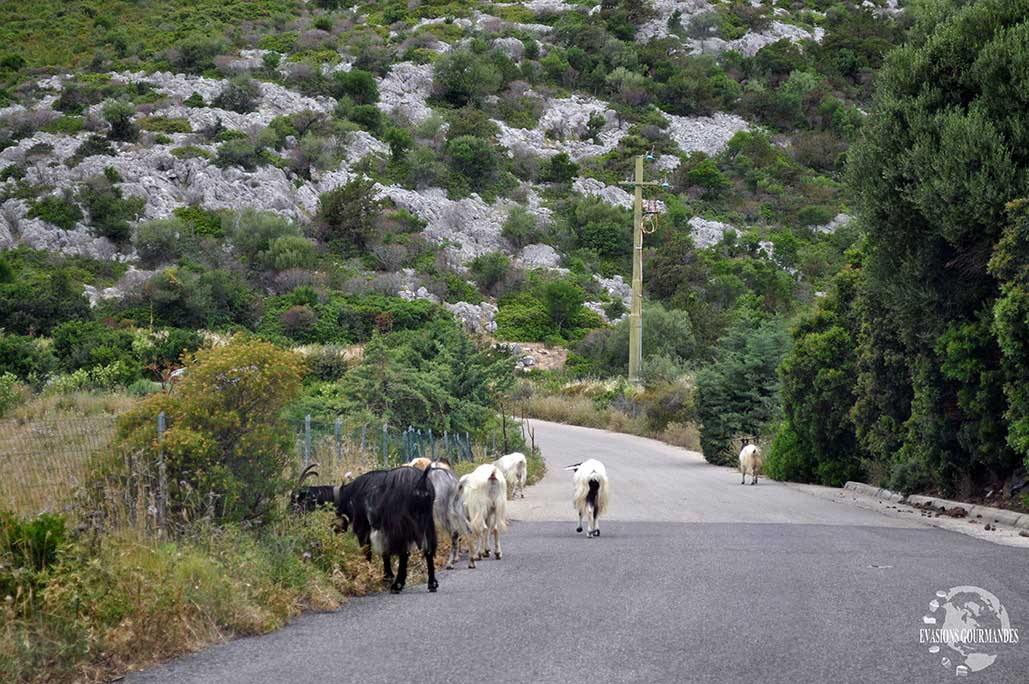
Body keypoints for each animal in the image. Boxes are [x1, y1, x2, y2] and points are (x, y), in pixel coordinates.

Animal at [366, 464, 438, 592]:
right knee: (429, 549)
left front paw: (388, 576)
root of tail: (421, 485)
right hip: (428, 522)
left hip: (402, 525)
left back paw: (397, 585)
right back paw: (432, 583)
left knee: (404, 552)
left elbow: (386, 551)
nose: (371, 519)